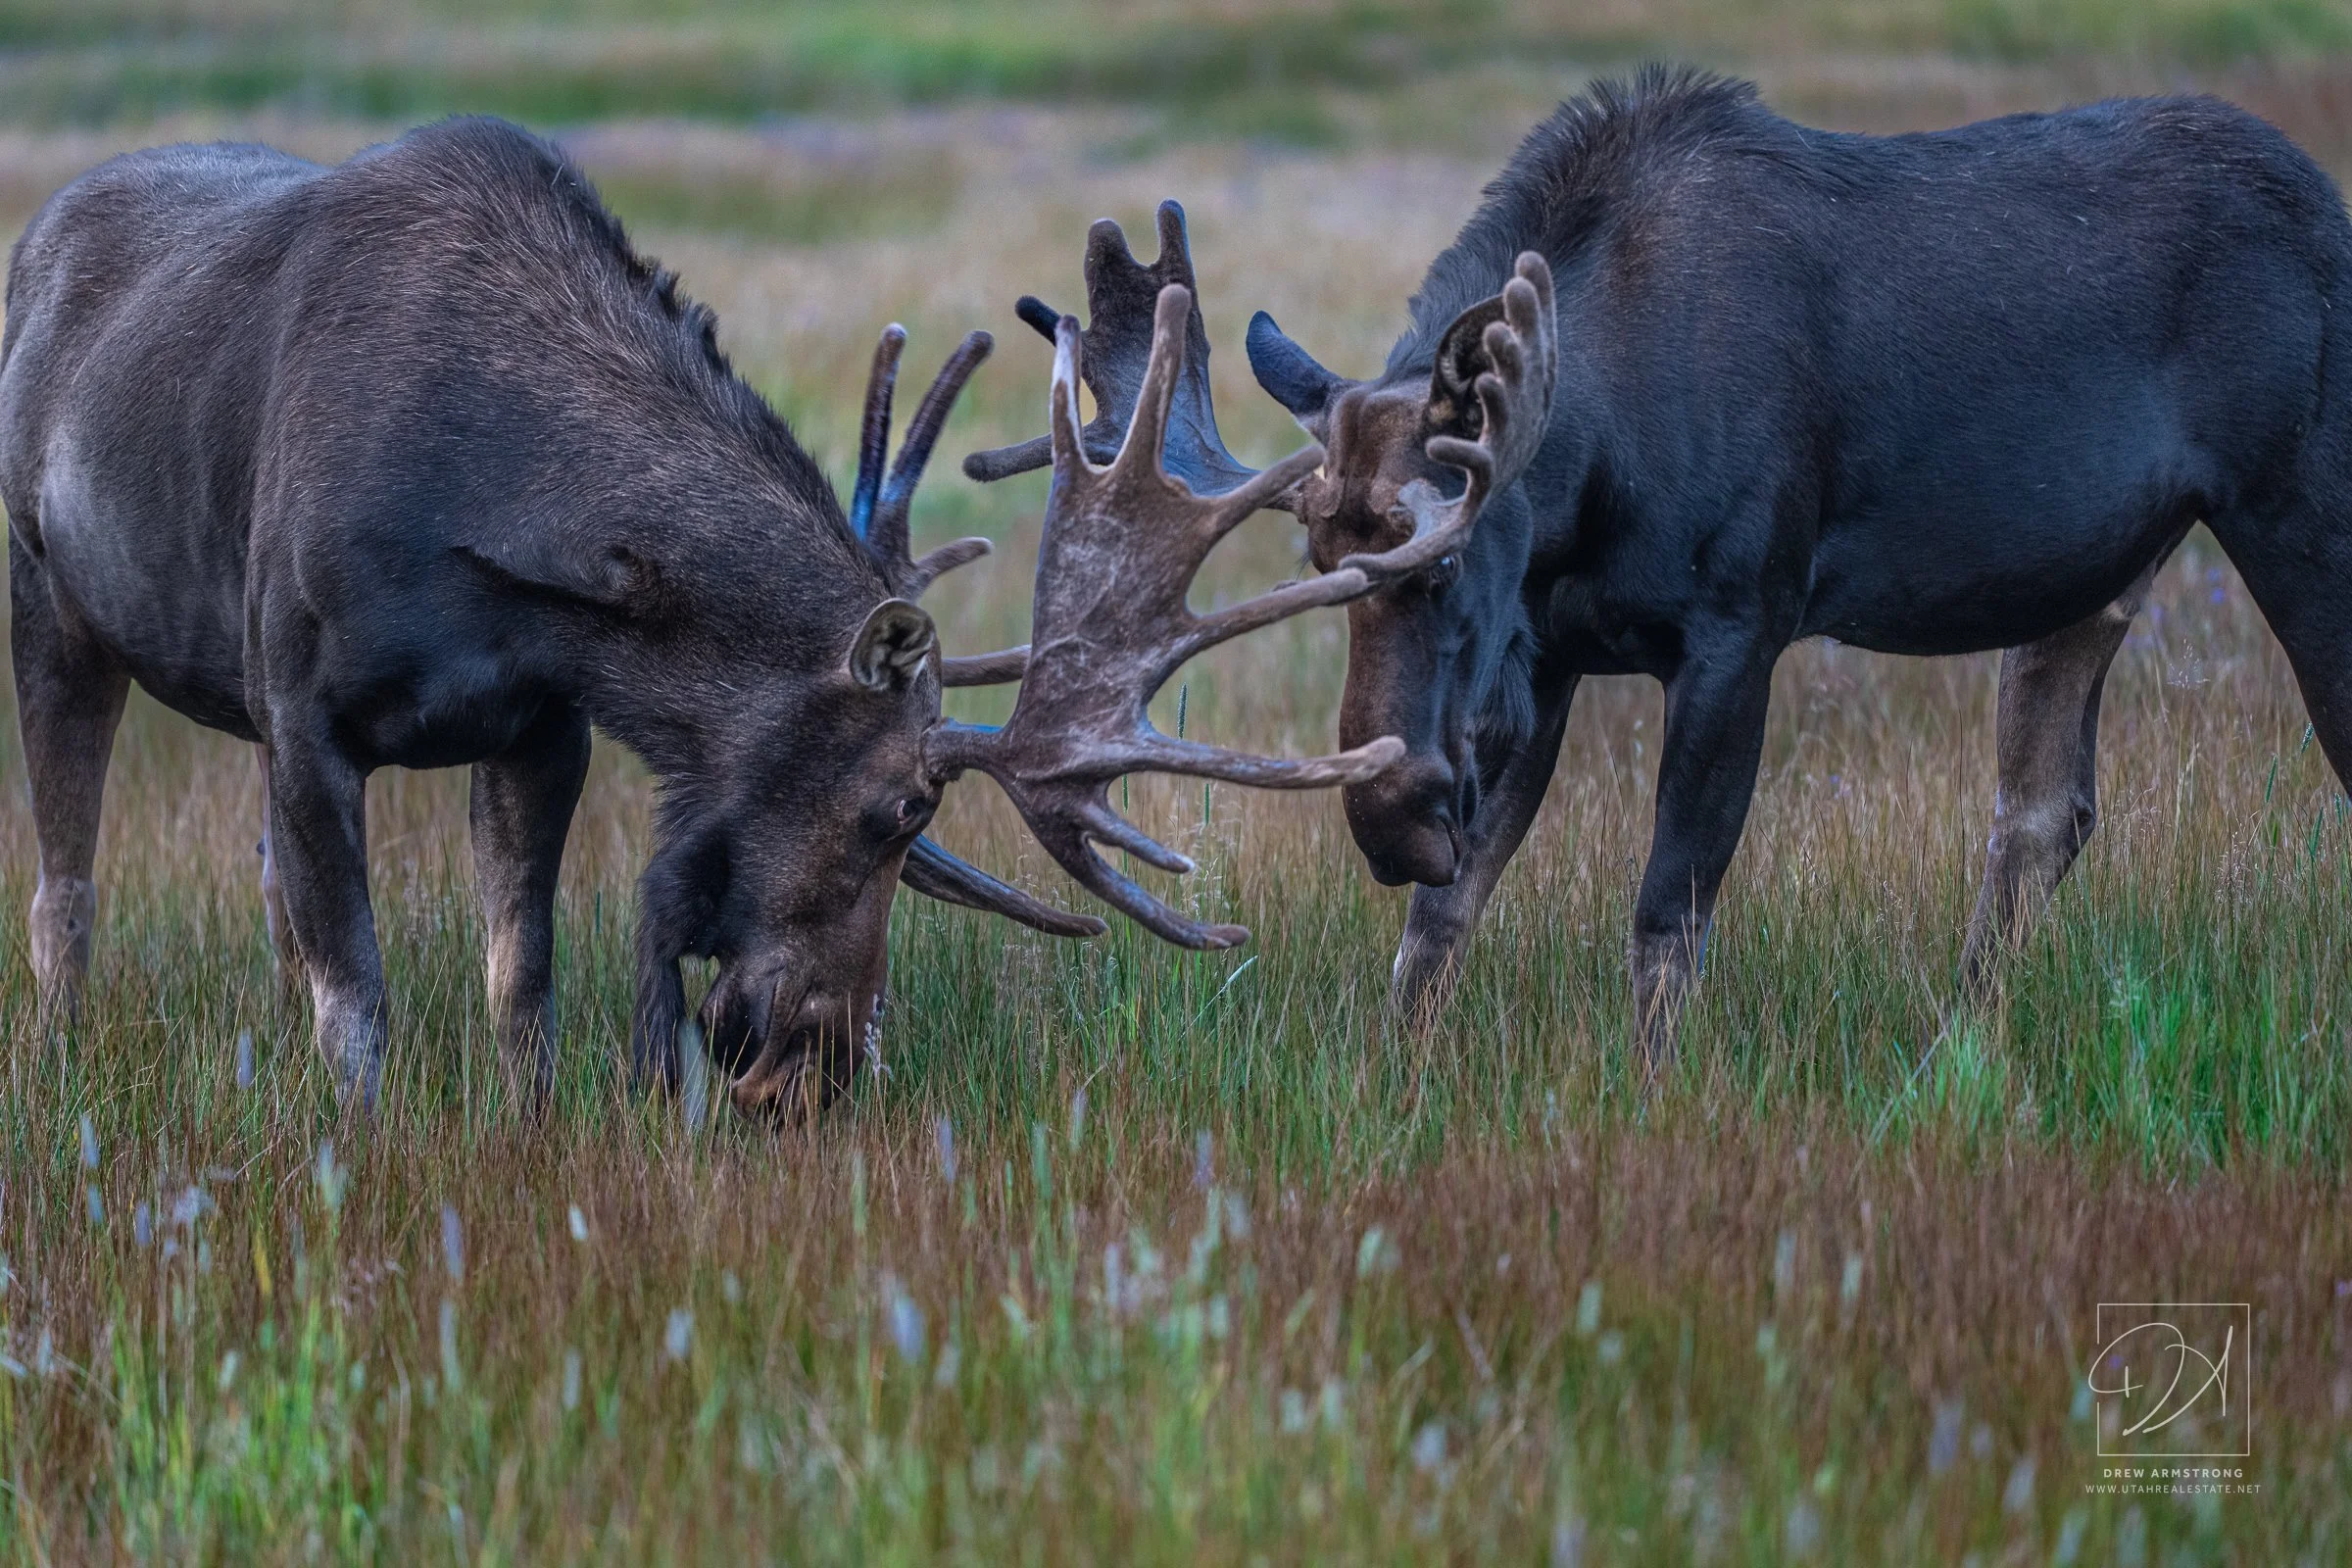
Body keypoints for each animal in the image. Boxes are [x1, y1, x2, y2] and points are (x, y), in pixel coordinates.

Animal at [970, 67, 2352, 1065]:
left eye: (1444, 567)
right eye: (1320, 560)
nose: (1392, 817)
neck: (1590, 477)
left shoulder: (1742, 622)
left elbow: (1667, 905)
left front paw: (1653, 1088)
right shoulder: (1549, 658)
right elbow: (1444, 924)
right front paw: (1394, 1082)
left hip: (2301, 513)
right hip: (2096, 576)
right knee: (2039, 816)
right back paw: (1956, 1050)